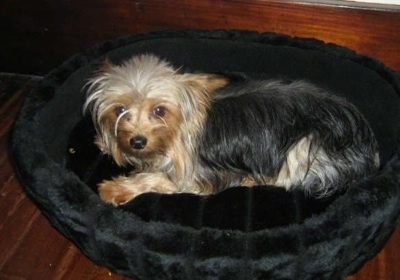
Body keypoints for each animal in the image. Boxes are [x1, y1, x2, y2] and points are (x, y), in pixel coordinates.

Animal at [83, 54, 378, 206]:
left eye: (159, 111)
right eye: (120, 110)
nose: (137, 142)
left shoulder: (198, 176)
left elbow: (157, 178)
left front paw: (114, 189)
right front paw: (106, 142)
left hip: (307, 145)